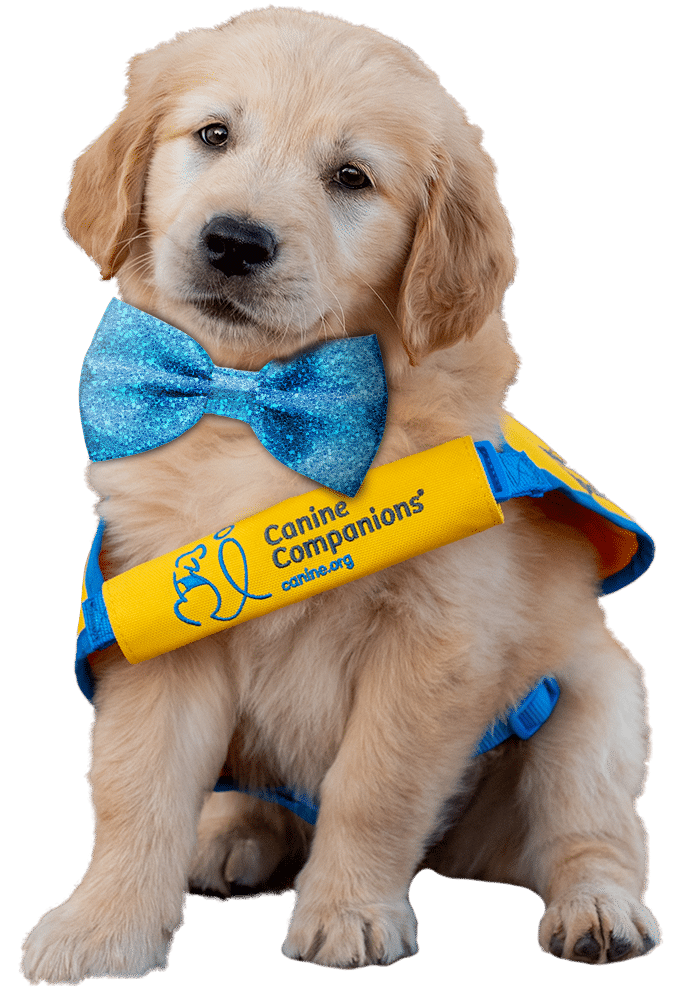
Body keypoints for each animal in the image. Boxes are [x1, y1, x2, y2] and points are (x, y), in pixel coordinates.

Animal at [19, 3, 660, 980]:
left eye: (350, 177)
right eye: (214, 135)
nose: (234, 241)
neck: (254, 401)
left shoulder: (435, 643)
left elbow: (375, 784)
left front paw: (350, 911)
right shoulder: (157, 616)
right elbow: (135, 785)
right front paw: (103, 925)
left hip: (598, 703)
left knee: (595, 831)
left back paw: (597, 909)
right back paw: (230, 834)